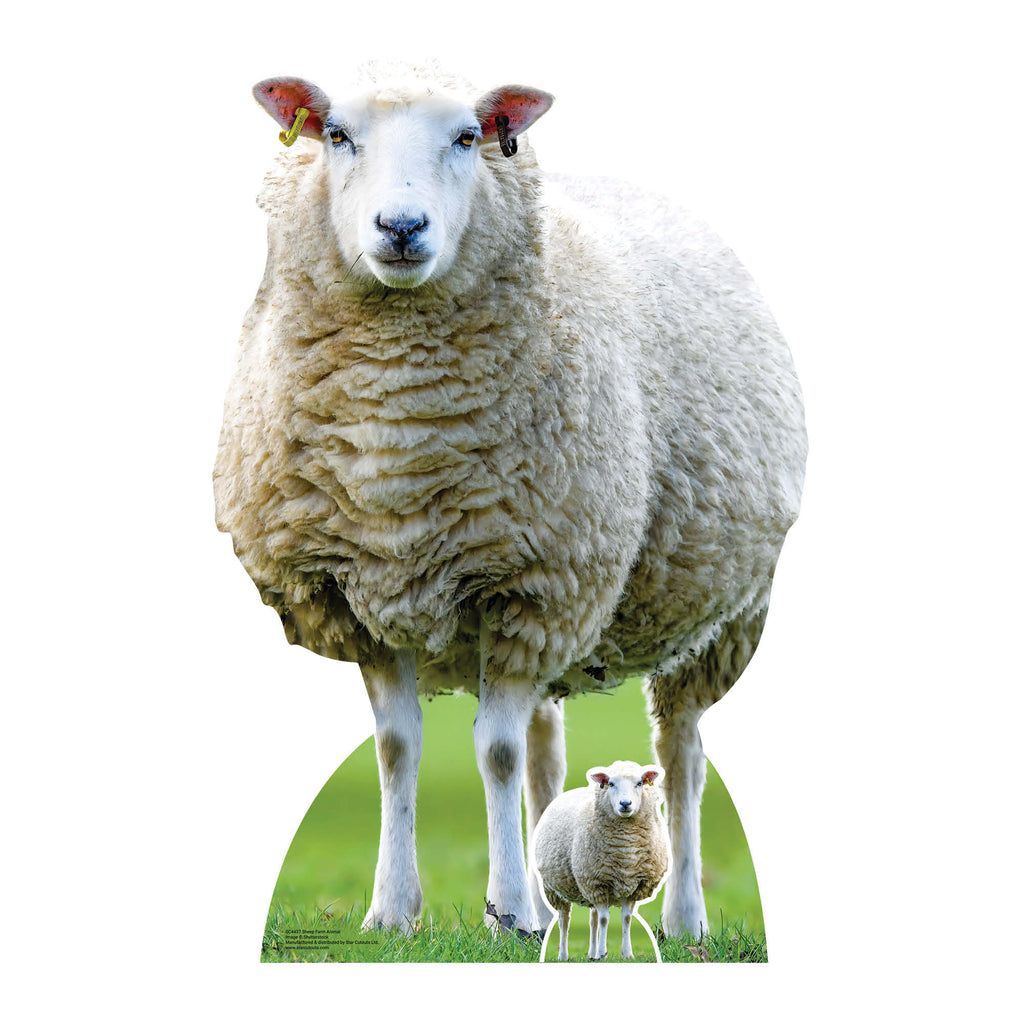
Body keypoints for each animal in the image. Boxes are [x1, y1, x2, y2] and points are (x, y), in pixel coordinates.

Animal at [213, 60, 807, 940]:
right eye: (337, 135)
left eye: (468, 137)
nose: (401, 227)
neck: (399, 439)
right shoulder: (359, 596)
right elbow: (397, 748)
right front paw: (392, 912)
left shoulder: (533, 588)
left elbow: (492, 753)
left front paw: (508, 909)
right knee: (548, 758)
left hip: (722, 617)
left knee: (682, 754)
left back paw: (683, 918)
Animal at [533, 761, 669, 961]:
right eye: (610, 784)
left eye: (639, 783)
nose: (625, 804)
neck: (625, 851)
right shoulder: (597, 883)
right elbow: (605, 919)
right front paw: (603, 952)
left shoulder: (634, 887)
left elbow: (626, 918)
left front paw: (627, 954)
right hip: (554, 889)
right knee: (564, 919)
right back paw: (564, 955)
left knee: (593, 919)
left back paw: (591, 953)